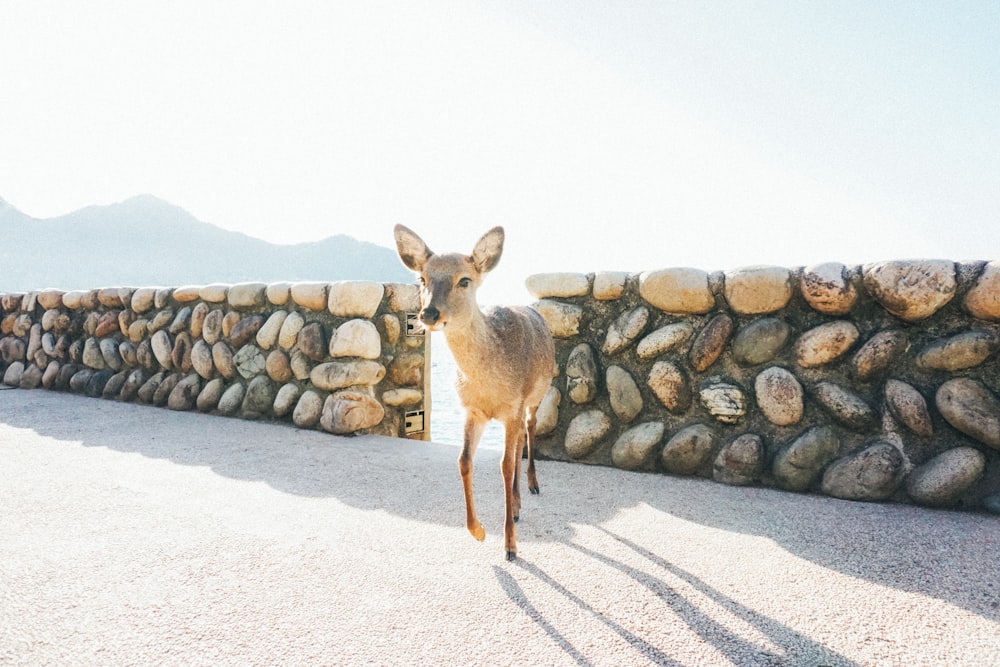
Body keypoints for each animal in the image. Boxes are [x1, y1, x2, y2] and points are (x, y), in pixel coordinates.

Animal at [394, 227, 556, 560]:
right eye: (422, 279)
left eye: (464, 280)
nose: (429, 313)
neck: (489, 387)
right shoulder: (471, 410)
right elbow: (464, 461)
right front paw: (478, 530)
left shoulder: (513, 405)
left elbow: (505, 465)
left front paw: (510, 546)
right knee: (518, 441)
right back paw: (517, 504)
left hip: (538, 394)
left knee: (529, 429)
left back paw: (532, 486)